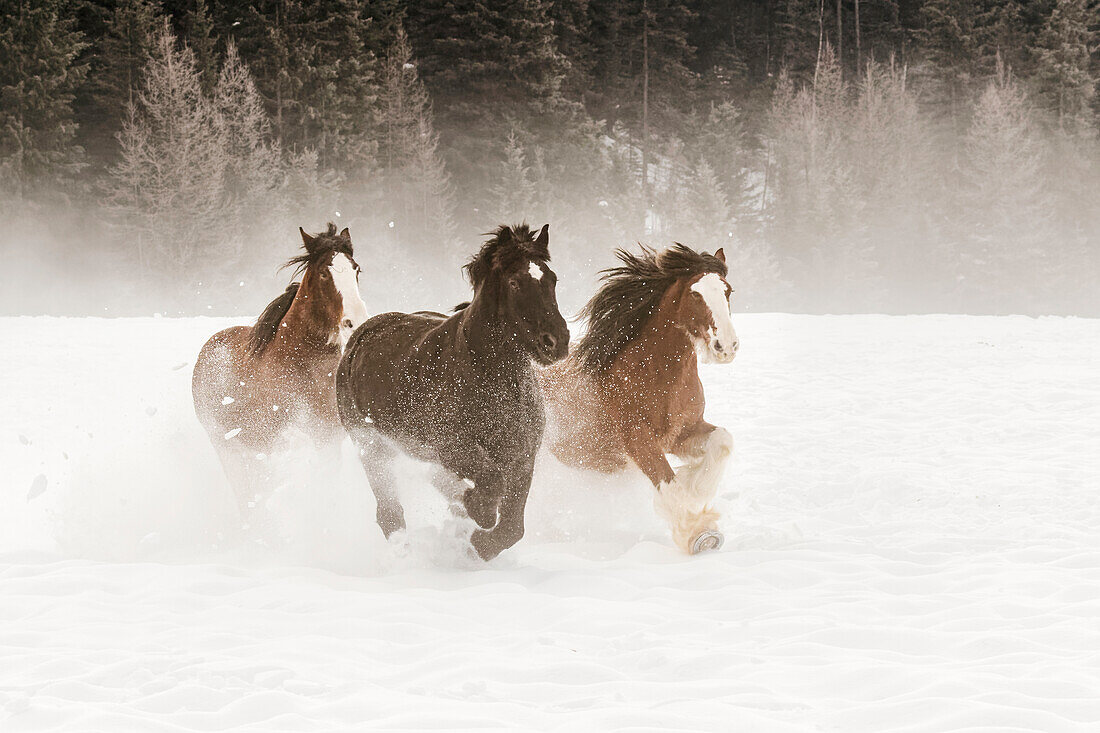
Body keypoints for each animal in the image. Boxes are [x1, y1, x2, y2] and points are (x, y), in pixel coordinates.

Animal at [336, 222, 572, 559]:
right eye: (514, 282)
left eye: (552, 279)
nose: (556, 341)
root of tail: (360, 336)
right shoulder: (453, 447)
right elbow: (490, 485)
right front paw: (478, 514)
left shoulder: (522, 457)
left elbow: (512, 528)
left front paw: (478, 543)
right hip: (371, 445)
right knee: (389, 512)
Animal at [541, 242, 739, 550]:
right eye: (695, 293)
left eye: (728, 290)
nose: (726, 346)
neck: (657, 374)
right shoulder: (637, 438)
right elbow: (667, 482)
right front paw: (699, 533)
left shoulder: (681, 433)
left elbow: (723, 442)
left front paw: (695, 488)